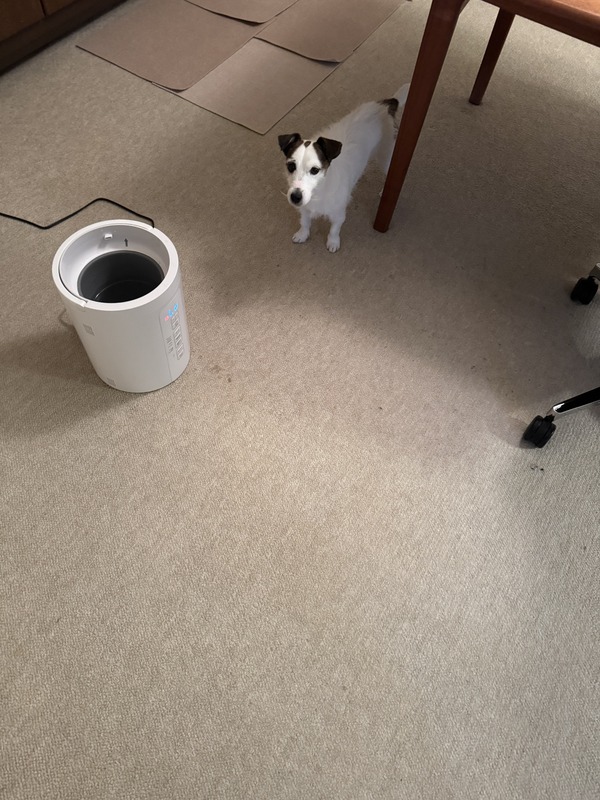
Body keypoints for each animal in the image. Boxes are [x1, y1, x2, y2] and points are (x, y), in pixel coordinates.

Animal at [278, 84, 409, 252]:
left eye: (315, 170)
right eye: (291, 166)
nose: (295, 197)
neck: (320, 191)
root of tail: (385, 105)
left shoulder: (338, 214)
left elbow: (334, 230)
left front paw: (333, 242)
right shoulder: (305, 209)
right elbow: (305, 222)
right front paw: (303, 234)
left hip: (386, 157)